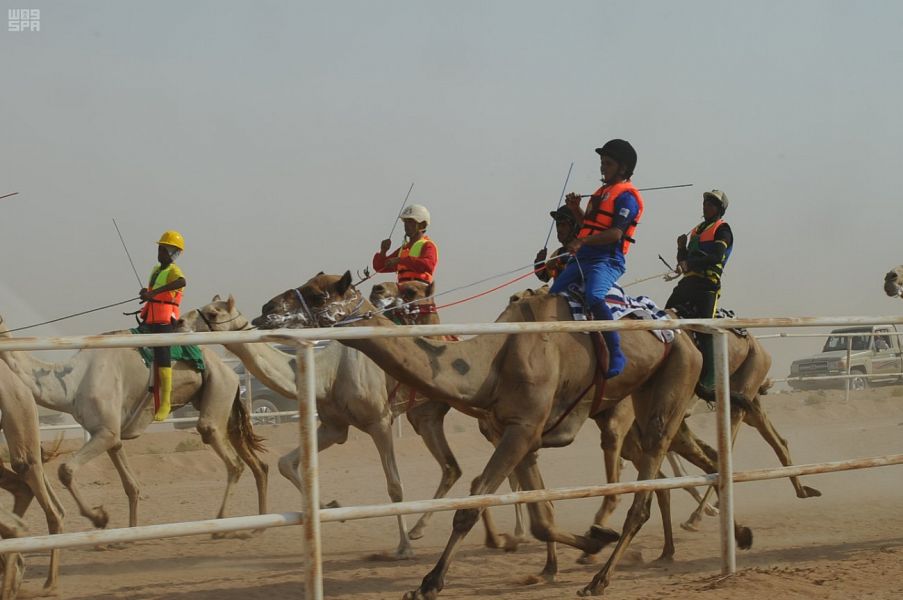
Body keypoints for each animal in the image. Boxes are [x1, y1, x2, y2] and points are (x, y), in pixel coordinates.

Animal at [0, 312, 268, 532]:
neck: (71, 384)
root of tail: (230, 370)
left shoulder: (106, 432)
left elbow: (65, 470)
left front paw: (99, 518)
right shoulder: (110, 435)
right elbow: (131, 485)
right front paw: (127, 533)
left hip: (218, 387)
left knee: (228, 455)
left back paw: (222, 524)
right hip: (222, 397)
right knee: (254, 459)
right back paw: (259, 521)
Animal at [252, 274, 756, 600]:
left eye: (318, 292)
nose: (266, 310)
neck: (490, 361)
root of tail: (685, 334)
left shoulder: (522, 428)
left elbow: (471, 505)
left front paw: (429, 582)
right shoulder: (521, 433)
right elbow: (540, 517)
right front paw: (576, 550)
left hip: (667, 388)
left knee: (647, 485)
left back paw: (602, 578)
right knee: (690, 462)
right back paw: (725, 534)